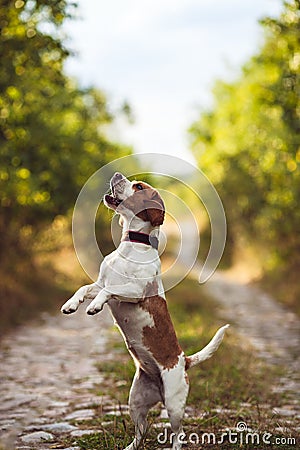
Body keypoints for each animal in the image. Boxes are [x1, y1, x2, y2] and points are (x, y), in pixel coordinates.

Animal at [61, 173, 230, 450]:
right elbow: (85, 288)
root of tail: (184, 361)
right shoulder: (99, 281)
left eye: (138, 186)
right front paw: (71, 304)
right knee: (143, 429)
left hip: (173, 404)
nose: (117, 174)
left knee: (179, 433)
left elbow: (108, 291)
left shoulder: (134, 291)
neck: (131, 245)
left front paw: (95, 306)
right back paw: (130, 447)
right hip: (135, 401)